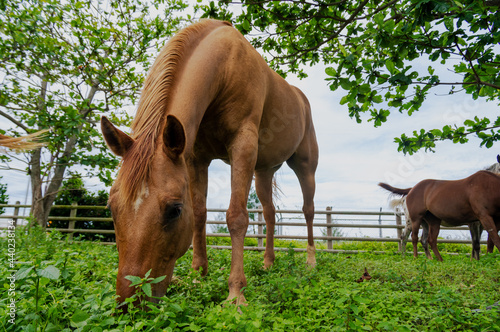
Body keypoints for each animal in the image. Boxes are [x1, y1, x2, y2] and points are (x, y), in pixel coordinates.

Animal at [100, 20, 318, 306]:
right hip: (263, 171)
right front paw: (198, 275)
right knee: (270, 213)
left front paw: (236, 293)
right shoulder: (196, 159)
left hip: (305, 166)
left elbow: (236, 216)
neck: (225, 67)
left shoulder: (243, 147)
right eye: (112, 208)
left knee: (308, 210)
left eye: (174, 210)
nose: (129, 304)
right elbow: (200, 214)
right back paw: (268, 263)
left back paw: (311, 261)